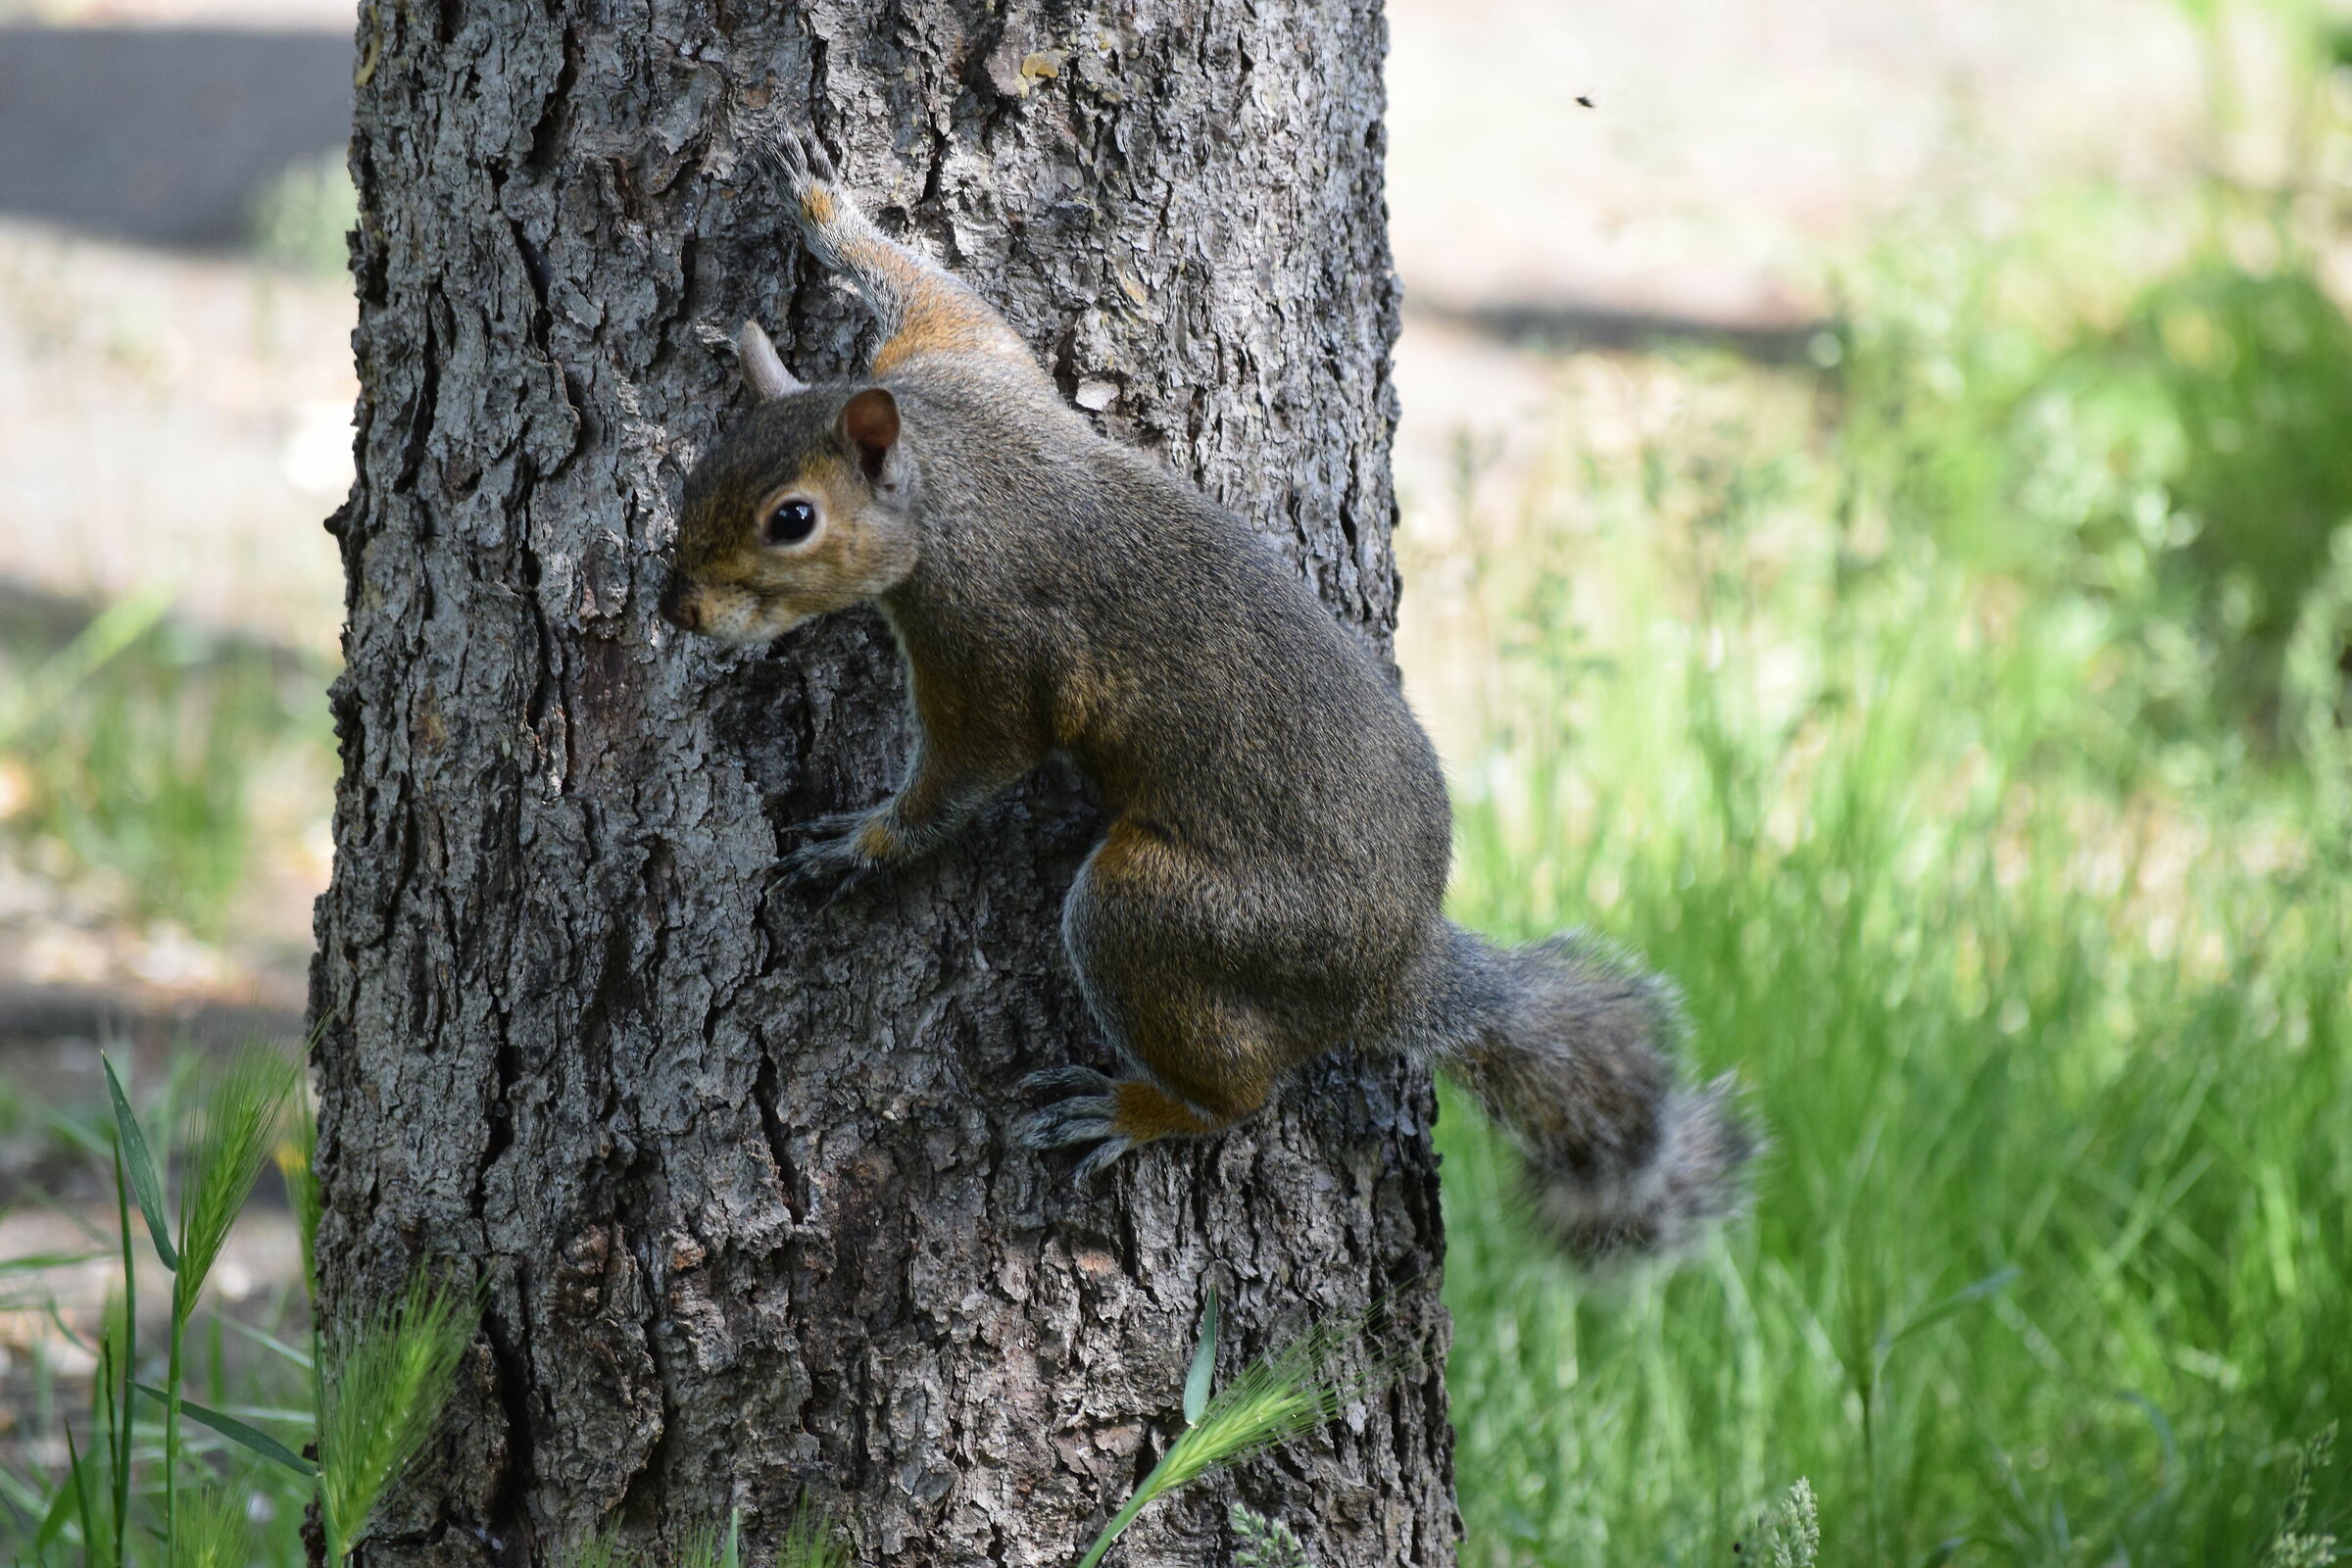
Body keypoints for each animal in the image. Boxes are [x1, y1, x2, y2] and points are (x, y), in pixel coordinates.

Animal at [659, 134, 1756, 1263]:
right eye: (697, 478)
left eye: (792, 520)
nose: (678, 608)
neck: (952, 469)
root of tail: (1395, 971)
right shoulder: (969, 362)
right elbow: (944, 291)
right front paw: (823, 210)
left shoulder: (988, 643)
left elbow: (973, 768)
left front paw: (864, 847)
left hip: (1168, 917)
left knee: (1237, 1089)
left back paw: (1135, 1108)